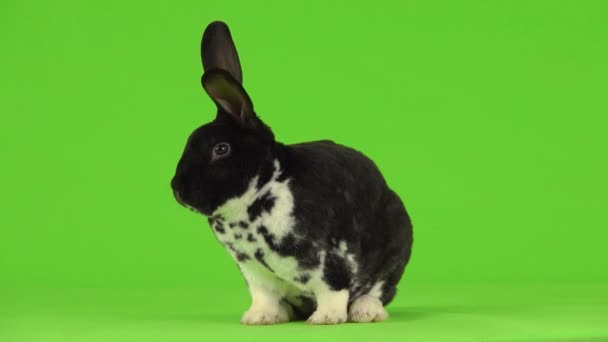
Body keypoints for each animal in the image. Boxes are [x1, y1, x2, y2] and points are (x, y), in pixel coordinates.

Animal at [171, 21, 414, 326]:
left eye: (221, 149)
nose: (177, 189)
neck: (263, 189)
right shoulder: (253, 270)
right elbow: (263, 296)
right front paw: (258, 318)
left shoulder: (329, 258)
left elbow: (333, 289)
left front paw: (326, 318)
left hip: (396, 246)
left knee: (379, 290)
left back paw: (364, 311)